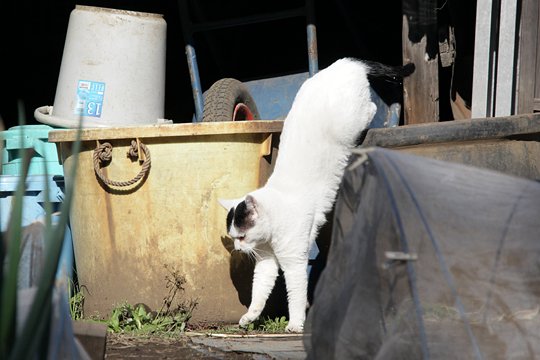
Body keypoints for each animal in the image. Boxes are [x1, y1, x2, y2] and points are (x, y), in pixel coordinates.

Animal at [219, 58, 414, 332]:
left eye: (242, 236)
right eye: (234, 238)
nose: (237, 248)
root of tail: (344, 62)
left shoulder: (294, 262)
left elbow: (296, 295)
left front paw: (295, 324)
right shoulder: (266, 263)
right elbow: (259, 292)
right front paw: (250, 316)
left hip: (353, 120)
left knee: (373, 108)